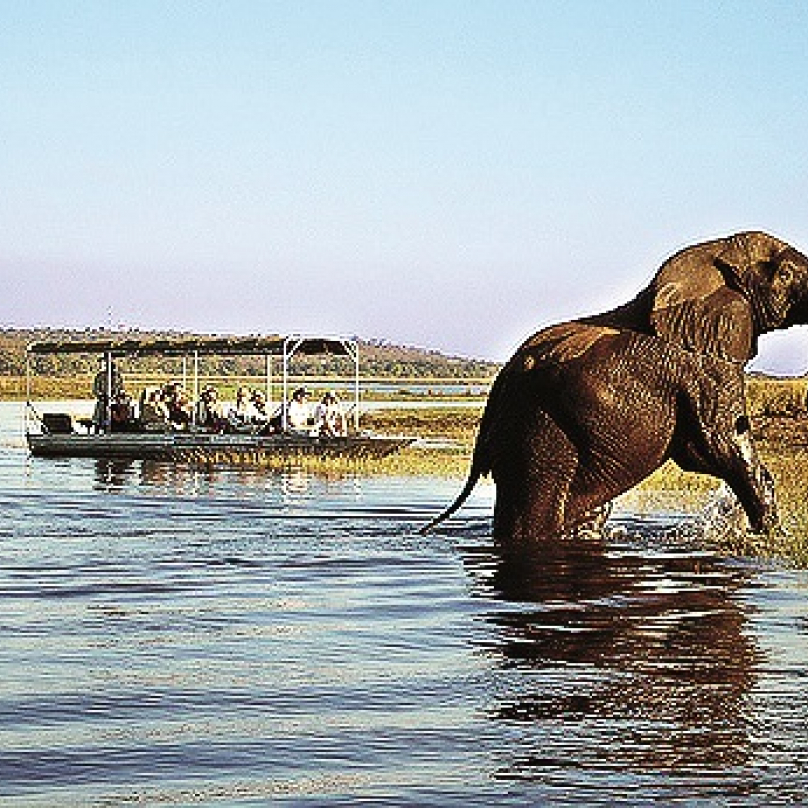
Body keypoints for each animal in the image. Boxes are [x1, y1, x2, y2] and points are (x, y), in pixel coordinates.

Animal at [422, 230, 808, 544]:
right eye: (784, 274)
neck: (715, 251)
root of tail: (498, 389)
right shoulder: (701, 364)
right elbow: (721, 444)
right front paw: (775, 537)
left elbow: (703, 451)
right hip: (537, 429)